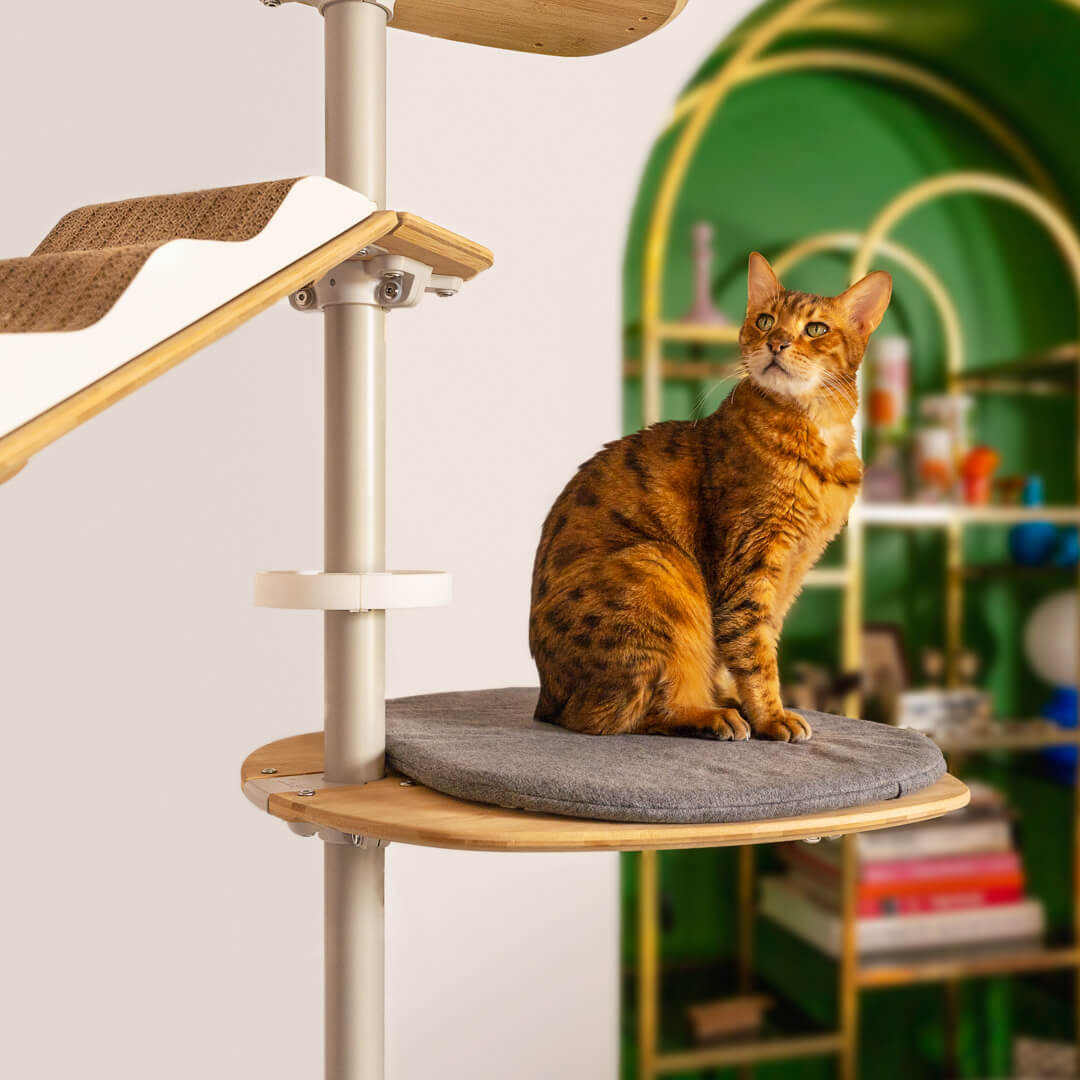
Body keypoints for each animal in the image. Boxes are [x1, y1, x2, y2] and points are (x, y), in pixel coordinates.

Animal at [527, 253, 889, 743]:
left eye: (816, 329)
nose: (776, 343)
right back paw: (711, 715)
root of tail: (546, 700)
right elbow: (754, 650)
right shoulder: (751, 556)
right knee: (621, 715)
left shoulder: (793, 570)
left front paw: (752, 705)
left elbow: (755, 641)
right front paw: (772, 717)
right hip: (658, 565)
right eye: (765, 320)